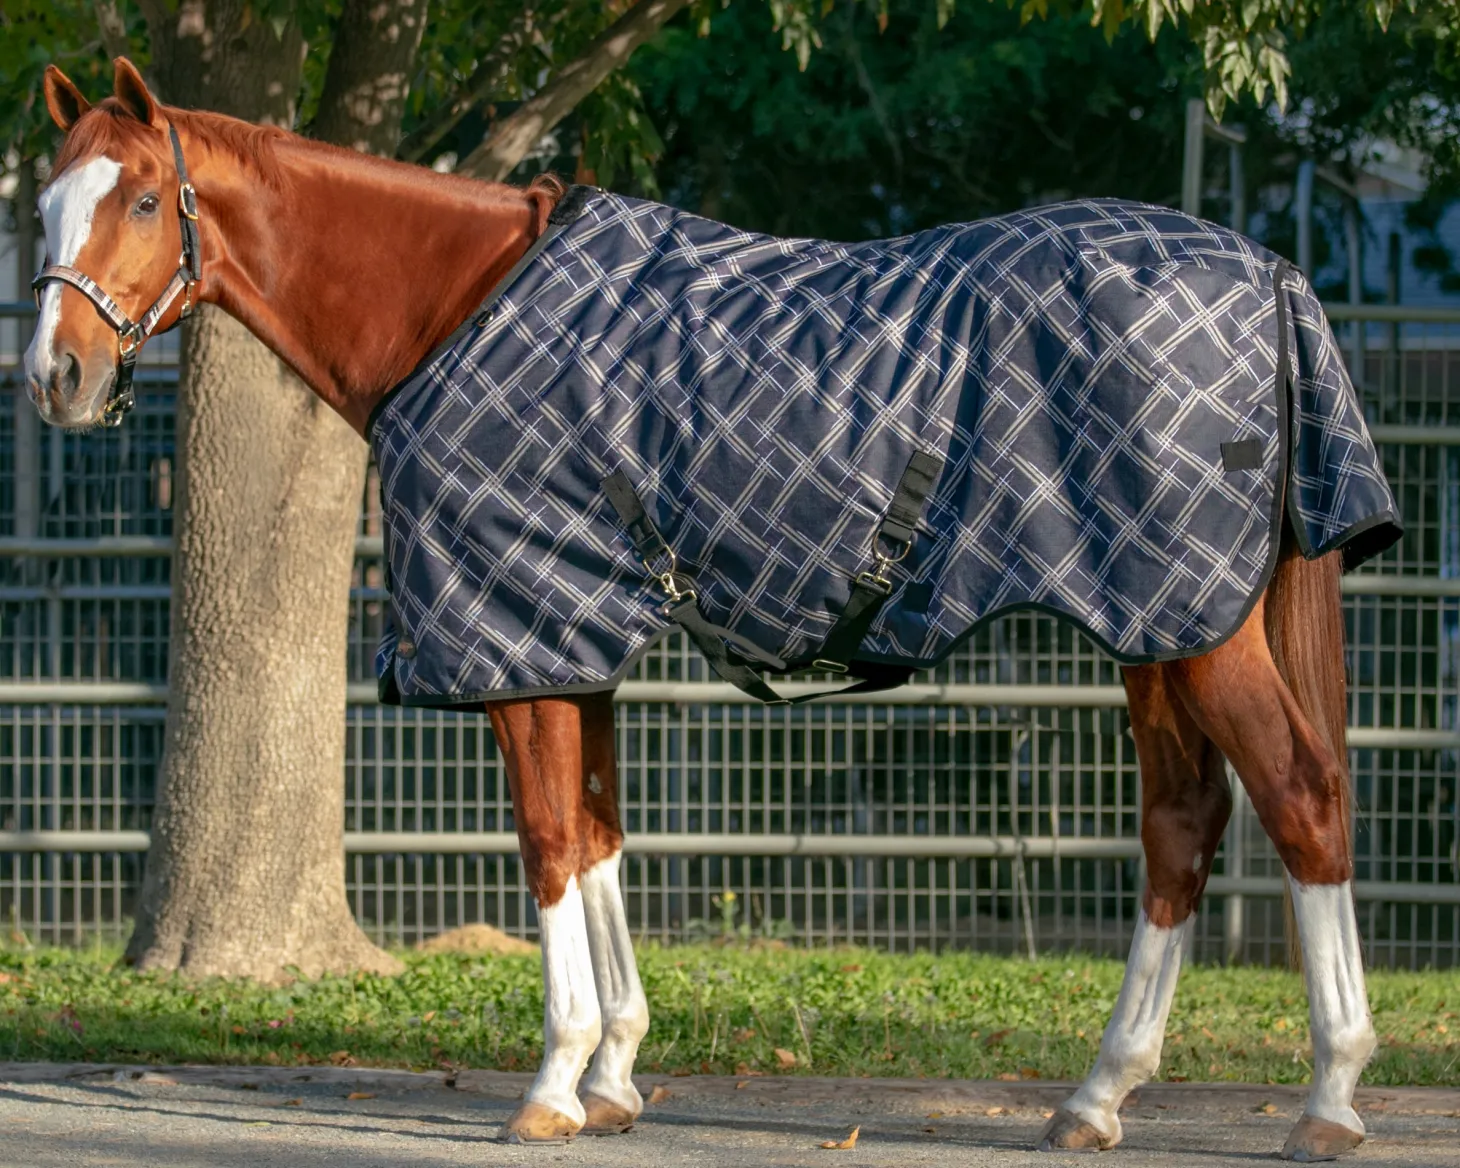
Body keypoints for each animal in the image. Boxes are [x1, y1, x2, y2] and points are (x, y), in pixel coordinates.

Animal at [26, 59, 1386, 1162]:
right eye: (40, 204)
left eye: (141, 200)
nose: (57, 378)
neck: (451, 302)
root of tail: (1268, 273)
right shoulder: (573, 641)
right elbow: (598, 836)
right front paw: (615, 1074)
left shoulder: (517, 638)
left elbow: (546, 843)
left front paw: (551, 1084)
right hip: (1158, 623)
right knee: (1180, 823)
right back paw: (1096, 1097)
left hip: (1194, 627)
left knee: (1301, 795)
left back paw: (1327, 1099)